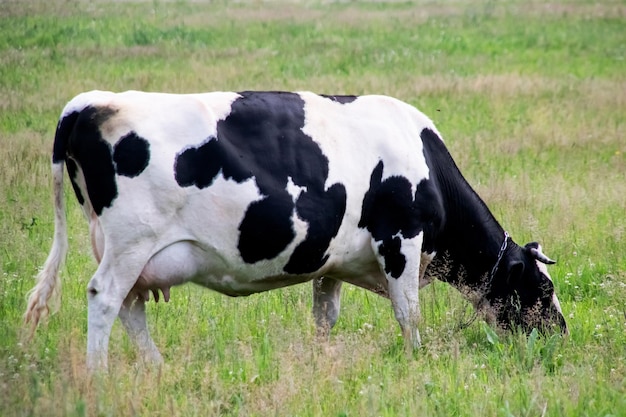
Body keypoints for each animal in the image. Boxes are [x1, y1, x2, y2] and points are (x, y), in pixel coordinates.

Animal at [24, 90, 564, 368]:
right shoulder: (401, 241)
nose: (561, 333)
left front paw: (320, 362)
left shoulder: (332, 262)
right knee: (105, 298)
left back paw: (156, 368)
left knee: (131, 308)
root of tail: (92, 102)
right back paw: (98, 374)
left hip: (134, 253)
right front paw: (417, 360)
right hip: (129, 243)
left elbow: (325, 317)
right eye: (542, 290)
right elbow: (408, 314)